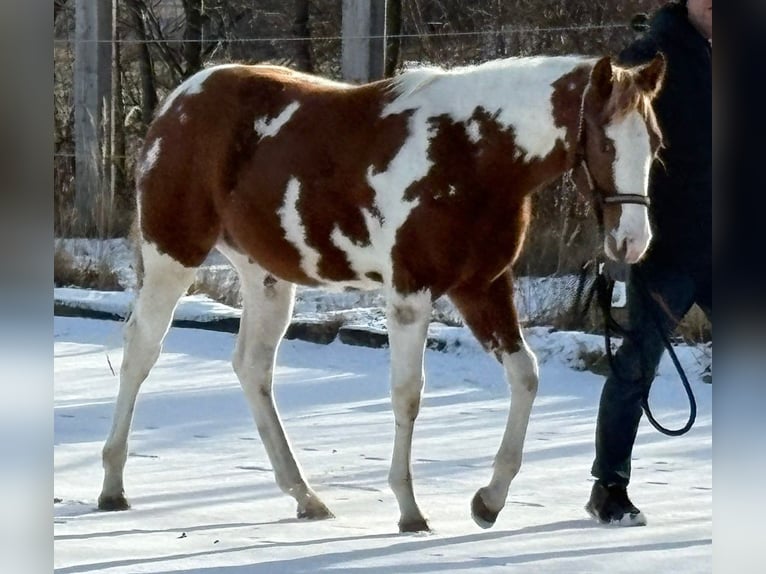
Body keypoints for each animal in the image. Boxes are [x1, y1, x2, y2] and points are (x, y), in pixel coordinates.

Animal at [98, 53, 665, 532]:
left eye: (655, 144)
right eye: (605, 143)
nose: (633, 241)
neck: (472, 154)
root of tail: (177, 103)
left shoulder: (481, 287)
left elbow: (525, 376)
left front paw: (489, 500)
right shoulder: (411, 294)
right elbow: (408, 395)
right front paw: (410, 510)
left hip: (267, 278)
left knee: (252, 367)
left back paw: (304, 495)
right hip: (173, 256)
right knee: (141, 350)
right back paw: (112, 485)